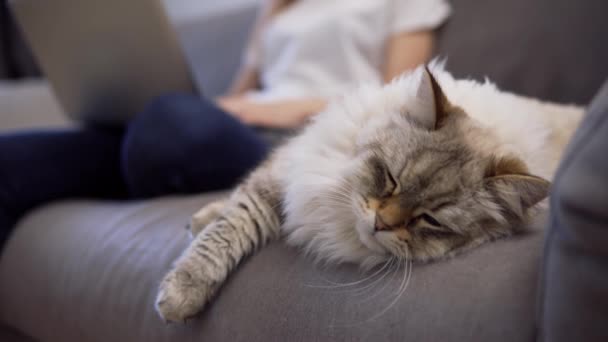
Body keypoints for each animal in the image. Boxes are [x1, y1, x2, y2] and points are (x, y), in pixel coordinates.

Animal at [154, 65, 580, 324]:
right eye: (390, 179)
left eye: (430, 219)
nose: (380, 223)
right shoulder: (282, 175)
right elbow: (226, 228)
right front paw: (187, 272)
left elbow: (223, 234)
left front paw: (178, 296)